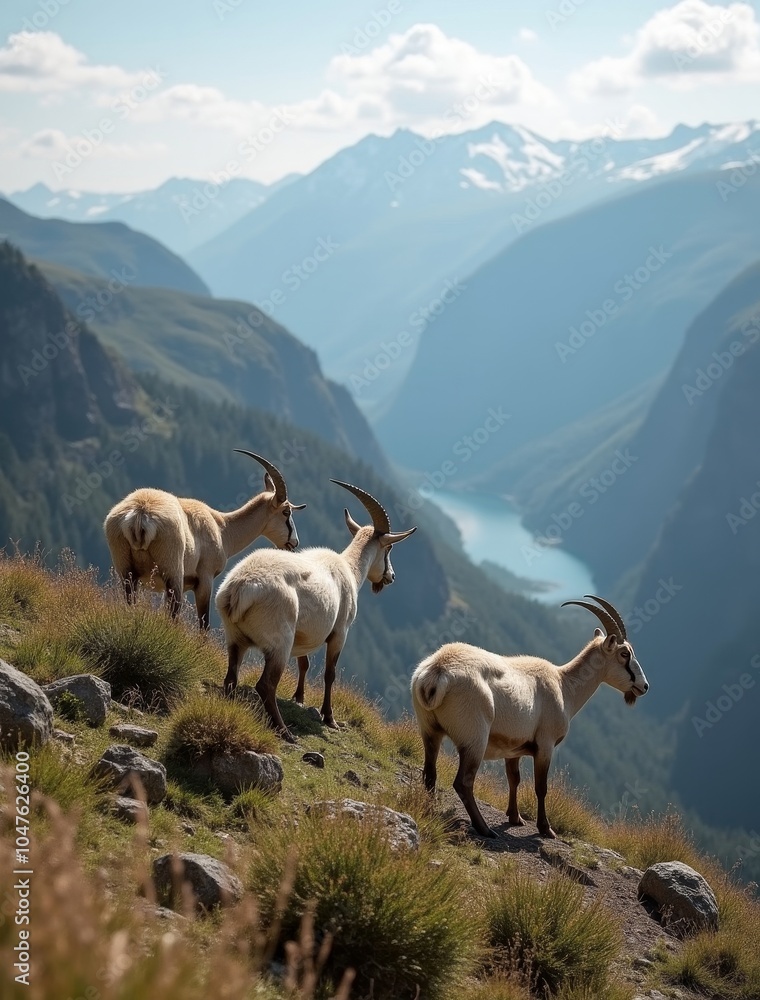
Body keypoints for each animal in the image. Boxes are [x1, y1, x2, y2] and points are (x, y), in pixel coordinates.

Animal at [104, 450, 306, 629]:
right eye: (286, 512)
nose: (293, 543)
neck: (221, 527)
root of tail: (140, 512)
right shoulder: (204, 580)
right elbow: (204, 624)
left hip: (128, 573)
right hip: (173, 574)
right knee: (174, 613)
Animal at [215, 480, 416, 741]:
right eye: (389, 548)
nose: (391, 577)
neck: (349, 569)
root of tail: (239, 588)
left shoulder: (304, 636)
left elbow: (304, 664)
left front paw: (298, 698)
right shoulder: (339, 633)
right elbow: (329, 674)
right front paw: (329, 718)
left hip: (235, 637)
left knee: (232, 675)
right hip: (280, 644)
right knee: (265, 685)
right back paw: (284, 731)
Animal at [411, 596, 649, 839]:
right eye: (624, 654)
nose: (644, 686)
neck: (563, 685)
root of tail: (437, 671)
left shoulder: (512, 749)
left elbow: (514, 779)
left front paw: (515, 818)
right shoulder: (545, 745)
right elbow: (540, 787)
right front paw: (546, 829)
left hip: (430, 731)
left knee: (430, 773)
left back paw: (429, 810)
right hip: (474, 740)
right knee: (463, 783)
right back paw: (485, 829)